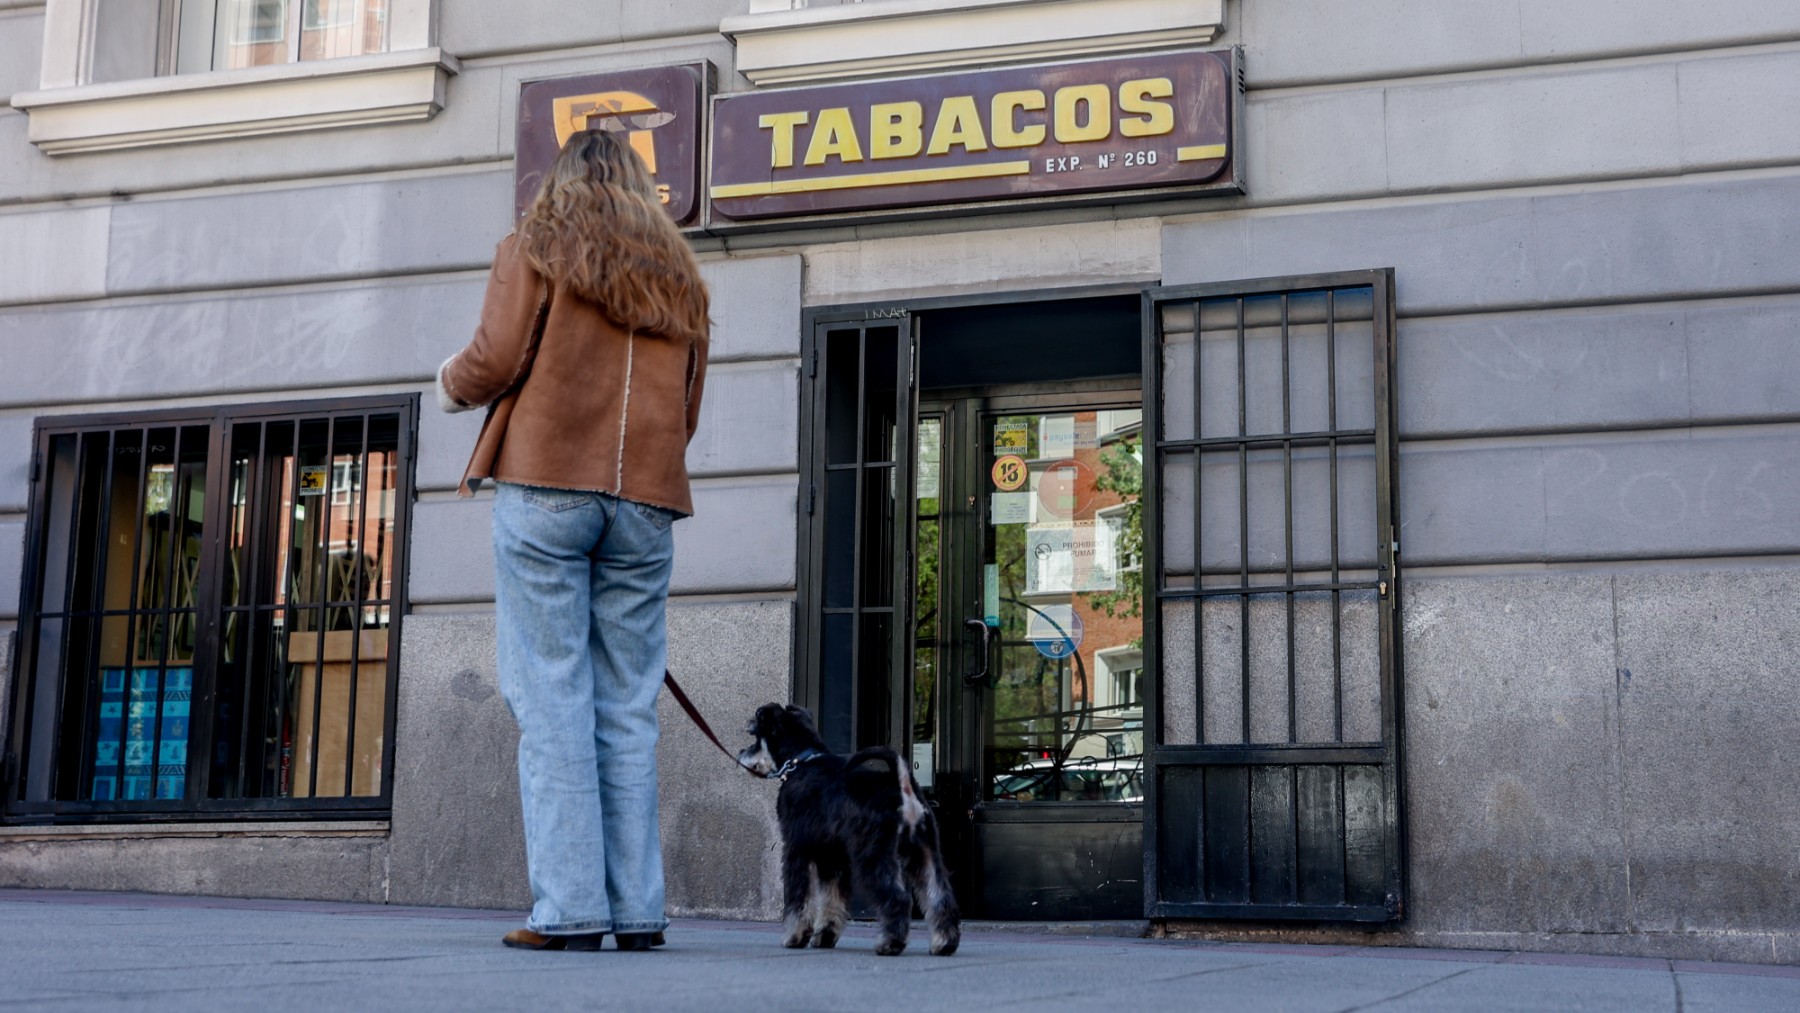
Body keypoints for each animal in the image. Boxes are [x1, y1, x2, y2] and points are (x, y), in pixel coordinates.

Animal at [738, 705, 964, 957]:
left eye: (756, 736)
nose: (741, 754)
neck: (801, 761)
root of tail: (902, 786)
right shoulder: (831, 857)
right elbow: (832, 898)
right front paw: (824, 937)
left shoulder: (797, 849)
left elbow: (800, 897)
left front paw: (795, 936)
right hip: (923, 851)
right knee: (939, 896)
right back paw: (944, 943)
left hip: (872, 855)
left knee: (898, 897)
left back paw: (890, 943)